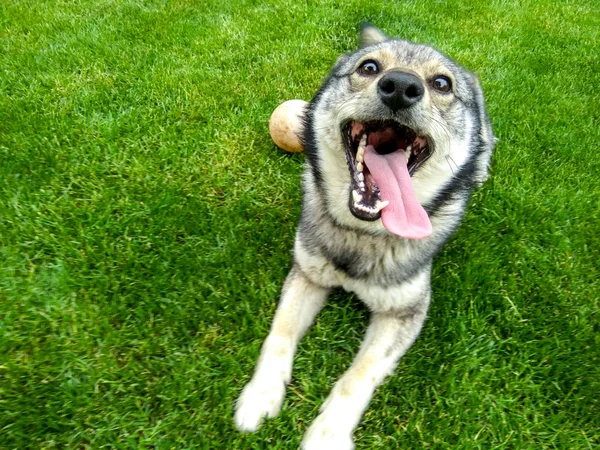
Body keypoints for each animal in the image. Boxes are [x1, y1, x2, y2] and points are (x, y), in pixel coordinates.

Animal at [233, 25, 492, 450]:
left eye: (441, 83)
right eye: (369, 67)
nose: (401, 86)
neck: (362, 234)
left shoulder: (406, 309)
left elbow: (360, 373)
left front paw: (327, 433)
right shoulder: (306, 274)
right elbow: (279, 333)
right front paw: (260, 395)